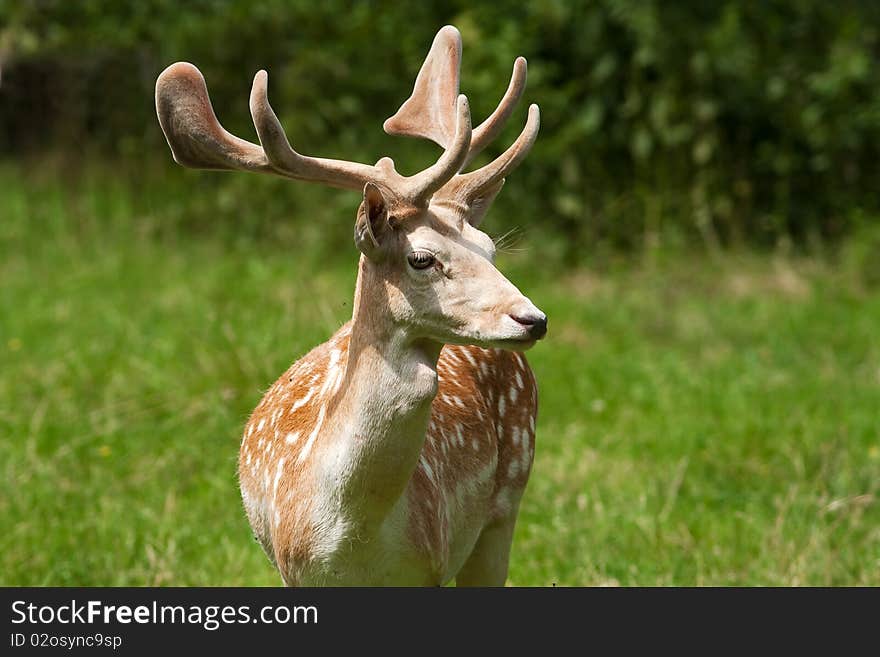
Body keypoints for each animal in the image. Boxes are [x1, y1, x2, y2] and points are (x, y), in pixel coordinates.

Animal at [155, 28, 548, 588]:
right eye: (422, 258)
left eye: (489, 247)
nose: (532, 318)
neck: (353, 540)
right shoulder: (294, 570)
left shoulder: (431, 565)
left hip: (507, 499)